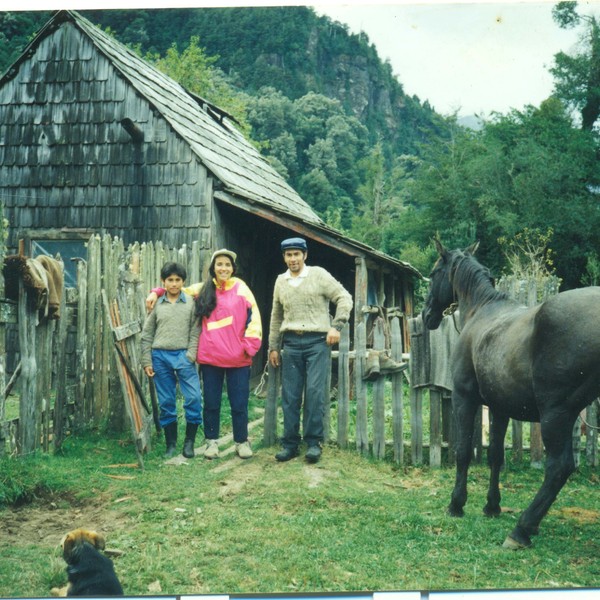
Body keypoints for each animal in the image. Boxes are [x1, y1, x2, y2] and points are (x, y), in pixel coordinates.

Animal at [422, 238, 600, 548]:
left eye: (433, 274)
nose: (426, 314)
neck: (481, 311)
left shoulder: (464, 399)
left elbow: (463, 452)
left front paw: (456, 504)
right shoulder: (498, 407)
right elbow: (495, 454)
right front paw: (492, 506)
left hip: (556, 415)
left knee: (559, 467)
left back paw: (522, 529)